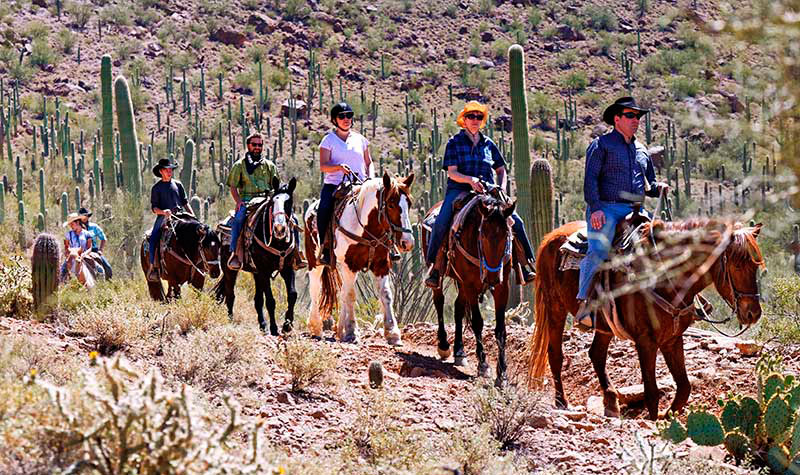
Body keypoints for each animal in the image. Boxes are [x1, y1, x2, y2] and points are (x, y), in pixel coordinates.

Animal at [216, 177, 300, 336]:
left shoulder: (287, 268)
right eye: (273, 202)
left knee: (257, 299)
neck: (278, 243)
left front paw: (287, 325)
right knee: (230, 295)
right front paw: (274, 328)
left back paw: (262, 325)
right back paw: (230, 320)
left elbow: (292, 294)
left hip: (256, 273)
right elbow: (271, 301)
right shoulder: (264, 271)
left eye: (289, 203)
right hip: (230, 269)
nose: (279, 229)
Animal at [304, 171, 416, 346]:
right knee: (315, 288)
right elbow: (351, 296)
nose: (407, 242)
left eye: (409, 204)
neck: (366, 229)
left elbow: (386, 294)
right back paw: (316, 327)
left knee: (342, 291)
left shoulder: (381, 265)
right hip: (315, 261)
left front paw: (392, 333)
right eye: (391, 204)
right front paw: (351, 332)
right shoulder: (350, 264)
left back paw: (340, 329)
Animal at [422, 192, 516, 386]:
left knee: (458, 308)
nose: (492, 277)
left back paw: (459, 351)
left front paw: (502, 373)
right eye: (483, 234)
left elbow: (501, 329)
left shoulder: (503, 288)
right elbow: (477, 322)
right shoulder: (471, 285)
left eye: (507, 235)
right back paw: (444, 345)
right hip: (443, 277)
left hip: (462, 283)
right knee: (439, 301)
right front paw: (483, 365)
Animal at [528, 219, 764, 420]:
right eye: (737, 265)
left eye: (756, 266)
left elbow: (684, 387)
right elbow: (651, 393)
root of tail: (550, 236)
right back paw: (562, 402)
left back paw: (611, 402)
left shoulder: (672, 339)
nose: (753, 313)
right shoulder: (646, 342)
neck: (665, 279)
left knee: (596, 354)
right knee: (555, 355)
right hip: (555, 309)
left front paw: (668, 418)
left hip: (605, 326)